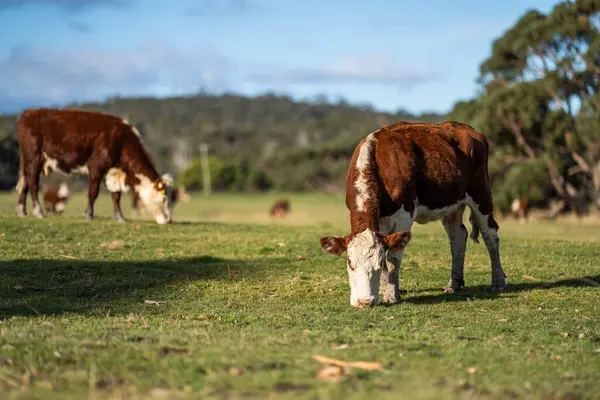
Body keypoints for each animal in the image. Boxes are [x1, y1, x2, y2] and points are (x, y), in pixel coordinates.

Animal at [16, 108, 175, 223]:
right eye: (164, 199)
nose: (168, 220)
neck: (121, 140)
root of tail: (29, 112)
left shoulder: (113, 171)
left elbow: (116, 195)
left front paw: (120, 218)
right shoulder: (96, 165)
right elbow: (93, 192)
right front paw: (89, 214)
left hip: (28, 160)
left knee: (25, 183)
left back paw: (22, 211)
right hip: (34, 156)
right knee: (33, 184)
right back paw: (38, 212)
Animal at [318, 120, 506, 308]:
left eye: (378, 262)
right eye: (350, 262)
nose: (365, 301)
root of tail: (467, 128)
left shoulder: (404, 215)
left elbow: (393, 259)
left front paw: (391, 294)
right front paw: (386, 290)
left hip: (481, 194)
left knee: (490, 235)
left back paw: (498, 281)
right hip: (452, 205)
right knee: (458, 237)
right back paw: (454, 284)